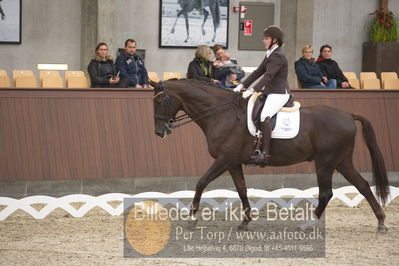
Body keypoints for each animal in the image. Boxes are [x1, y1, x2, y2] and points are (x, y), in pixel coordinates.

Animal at [151, 79, 390, 233]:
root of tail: (348, 115)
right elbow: (241, 190)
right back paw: (381, 222)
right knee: (363, 185)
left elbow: (201, 182)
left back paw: (308, 225)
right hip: (342, 161)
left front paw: (192, 218)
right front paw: (245, 222)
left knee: (326, 193)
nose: (159, 132)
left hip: (325, 162)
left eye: (159, 101)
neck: (221, 113)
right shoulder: (233, 162)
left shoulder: (224, 160)